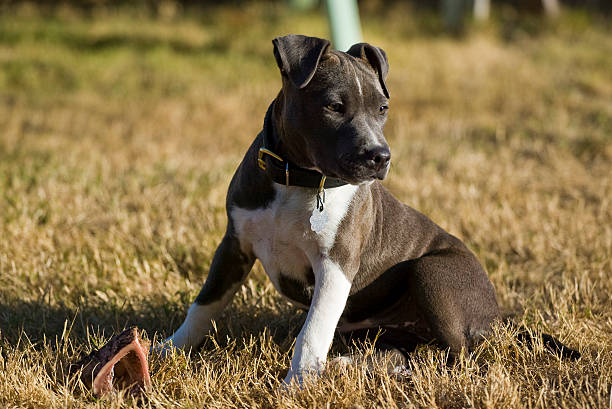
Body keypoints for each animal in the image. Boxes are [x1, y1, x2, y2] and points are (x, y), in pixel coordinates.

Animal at [159, 33, 580, 384]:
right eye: (334, 106)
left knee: (457, 357)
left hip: (432, 272)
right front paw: (169, 349)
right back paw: (358, 364)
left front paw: (297, 385)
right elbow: (204, 305)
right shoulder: (234, 247)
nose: (380, 156)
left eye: (383, 108)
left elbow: (313, 332)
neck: (297, 179)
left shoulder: (336, 264)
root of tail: (497, 318)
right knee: (403, 351)